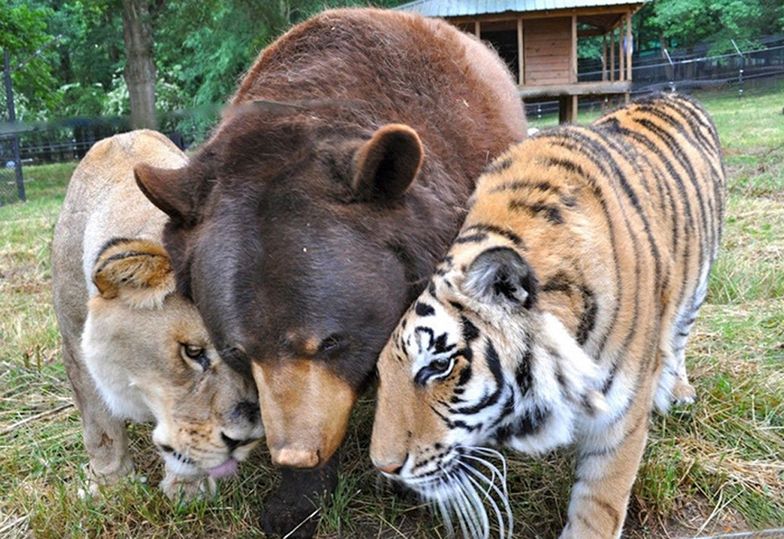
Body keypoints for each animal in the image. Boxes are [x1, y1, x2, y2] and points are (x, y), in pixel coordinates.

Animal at [53, 131, 266, 502]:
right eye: (193, 353)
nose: (246, 440)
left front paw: (188, 489)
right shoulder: (74, 344)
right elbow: (100, 427)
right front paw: (110, 485)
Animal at [370, 94, 724, 539]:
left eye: (439, 365)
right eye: (382, 372)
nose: (384, 467)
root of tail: (674, 93)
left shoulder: (619, 421)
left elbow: (597, 508)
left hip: (696, 288)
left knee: (677, 338)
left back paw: (676, 390)